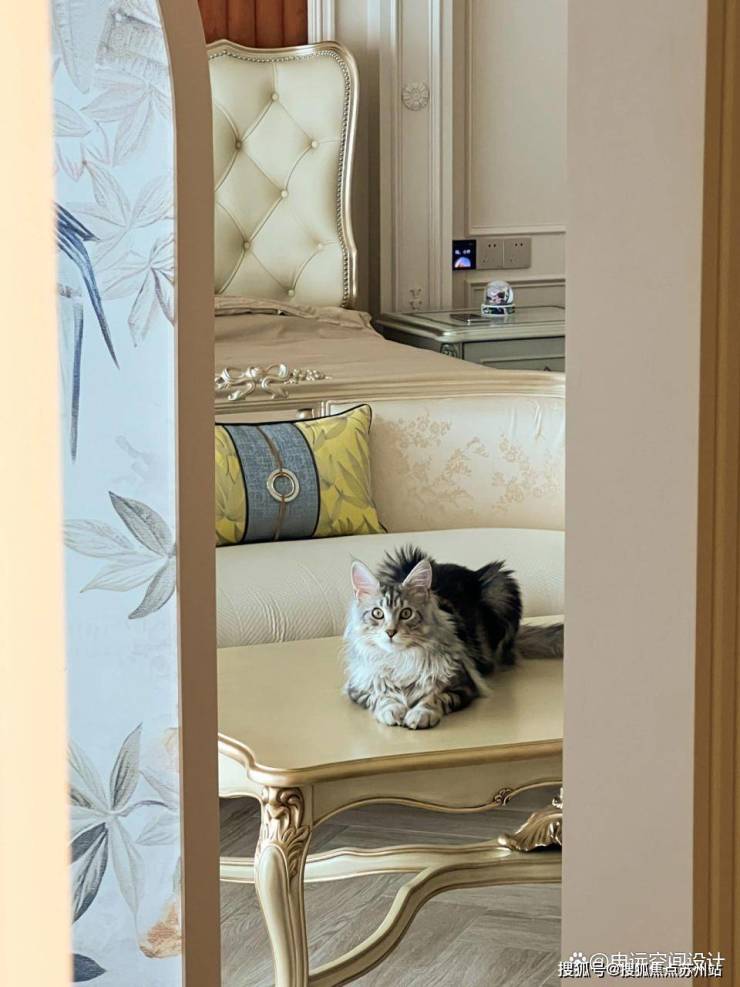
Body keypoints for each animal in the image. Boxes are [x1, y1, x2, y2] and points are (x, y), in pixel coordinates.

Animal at [343, 545, 563, 730]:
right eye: (377, 613)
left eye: (406, 613)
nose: (390, 632)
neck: (400, 660)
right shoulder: (358, 686)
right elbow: (380, 696)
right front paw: (392, 709)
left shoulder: (463, 684)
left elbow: (434, 697)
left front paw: (421, 714)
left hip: (502, 586)